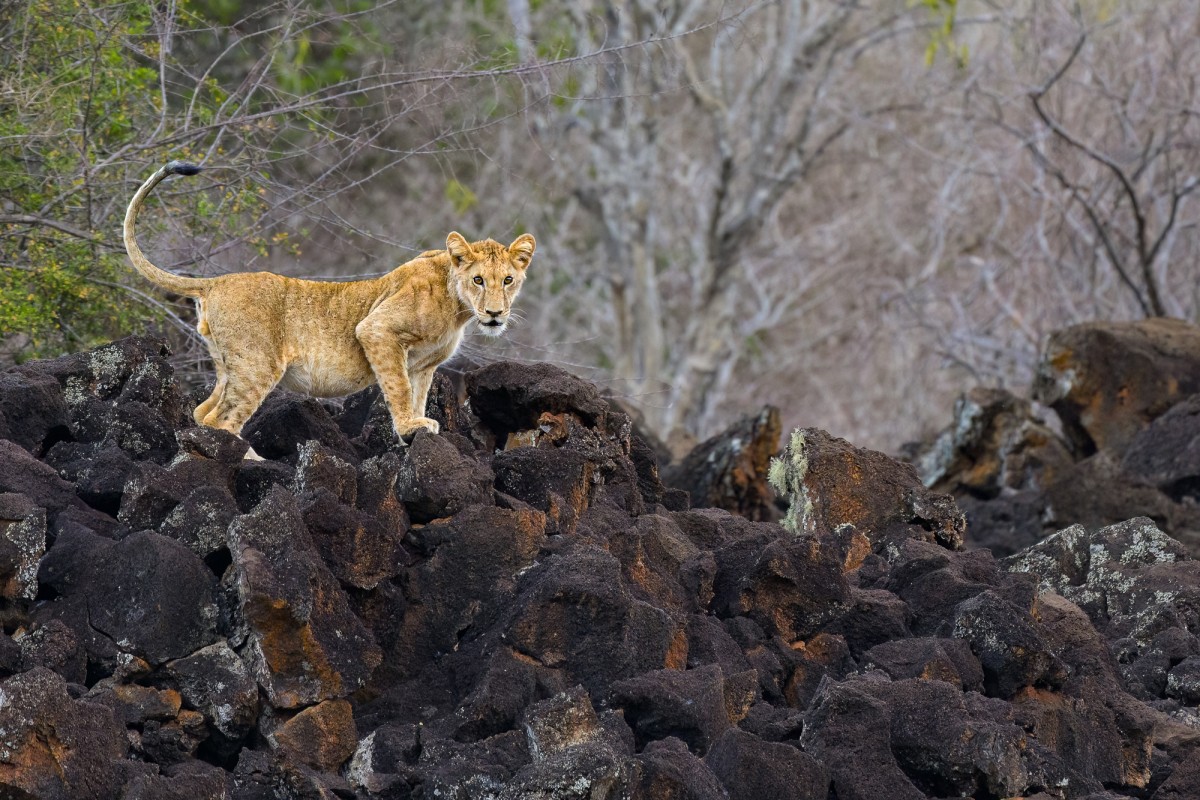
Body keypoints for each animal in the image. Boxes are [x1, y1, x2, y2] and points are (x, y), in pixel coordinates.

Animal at [124, 160, 532, 455]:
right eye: (478, 280)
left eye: (507, 280)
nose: (495, 313)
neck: (457, 305)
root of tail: (216, 281)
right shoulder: (377, 330)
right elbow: (398, 388)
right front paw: (409, 428)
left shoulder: (423, 364)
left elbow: (416, 394)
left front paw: (416, 427)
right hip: (257, 364)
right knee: (222, 421)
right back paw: (255, 461)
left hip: (229, 365)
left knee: (201, 412)